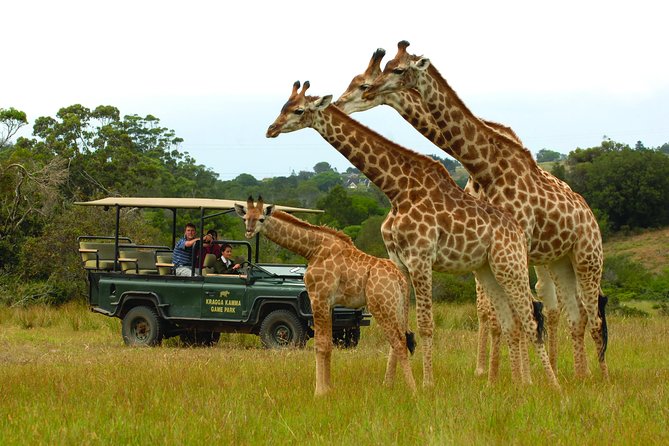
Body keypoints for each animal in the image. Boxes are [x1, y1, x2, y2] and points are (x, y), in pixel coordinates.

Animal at [235, 196, 416, 396]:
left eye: (261, 218)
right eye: (245, 218)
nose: (249, 231)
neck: (312, 249)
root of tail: (401, 279)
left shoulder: (318, 296)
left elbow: (320, 345)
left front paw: (319, 392)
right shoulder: (329, 304)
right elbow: (328, 345)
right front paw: (329, 388)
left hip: (382, 306)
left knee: (399, 343)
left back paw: (413, 390)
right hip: (397, 307)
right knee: (400, 341)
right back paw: (390, 387)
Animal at [266, 81, 560, 389]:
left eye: (298, 110)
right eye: (283, 106)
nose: (271, 129)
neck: (397, 189)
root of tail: (518, 230)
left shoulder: (421, 258)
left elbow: (425, 324)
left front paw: (427, 385)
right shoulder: (400, 262)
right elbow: (401, 325)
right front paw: (390, 384)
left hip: (510, 267)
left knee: (530, 317)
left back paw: (549, 384)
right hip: (489, 269)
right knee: (513, 319)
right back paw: (517, 382)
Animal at [360, 40, 608, 379]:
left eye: (397, 70)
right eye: (380, 70)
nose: (367, 91)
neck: (485, 167)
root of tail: (589, 213)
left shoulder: (512, 240)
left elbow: (514, 311)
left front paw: (512, 377)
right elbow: (491, 310)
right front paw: (493, 375)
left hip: (585, 257)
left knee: (583, 311)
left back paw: (595, 377)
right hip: (557, 259)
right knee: (570, 310)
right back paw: (578, 375)